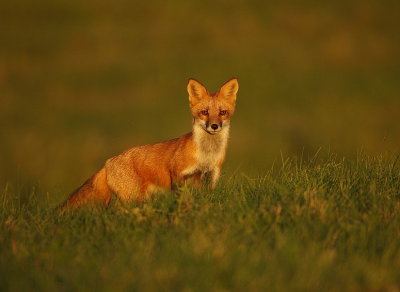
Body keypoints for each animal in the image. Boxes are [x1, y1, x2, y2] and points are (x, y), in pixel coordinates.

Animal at [60, 78, 238, 209]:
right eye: (204, 112)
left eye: (223, 113)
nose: (214, 126)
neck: (206, 156)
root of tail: (107, 163)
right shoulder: (178, 176)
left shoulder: (211, 177)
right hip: (134, 198)